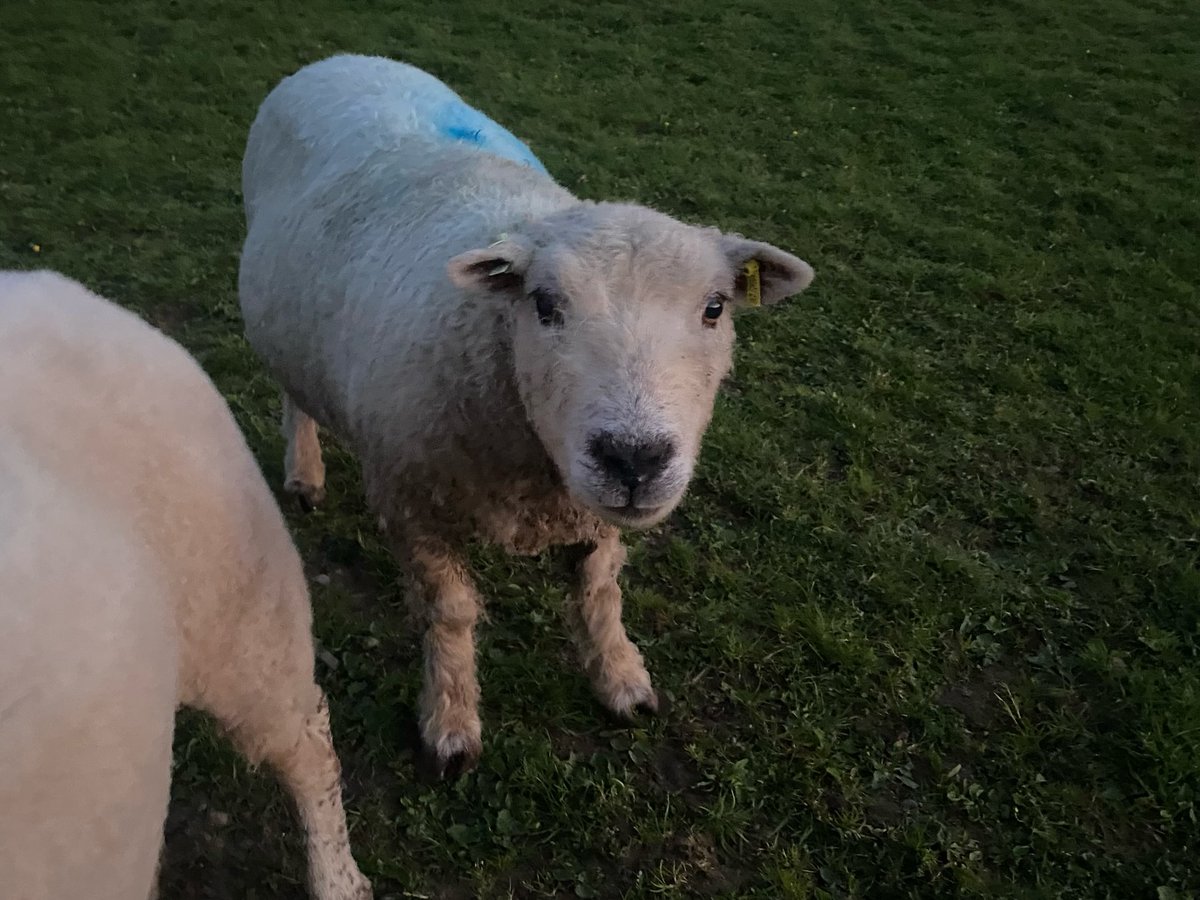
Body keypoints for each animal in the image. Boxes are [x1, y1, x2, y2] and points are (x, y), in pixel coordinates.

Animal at [238, 53, 815, 778]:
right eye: (543, 304)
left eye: (715, 308)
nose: (635, 457)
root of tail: (340, 59)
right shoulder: (411, 502)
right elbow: (450, 614)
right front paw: (451, 723)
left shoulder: (590, 512)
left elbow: (598, 591)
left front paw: (620, 680)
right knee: (295, 397)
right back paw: (304, 472)